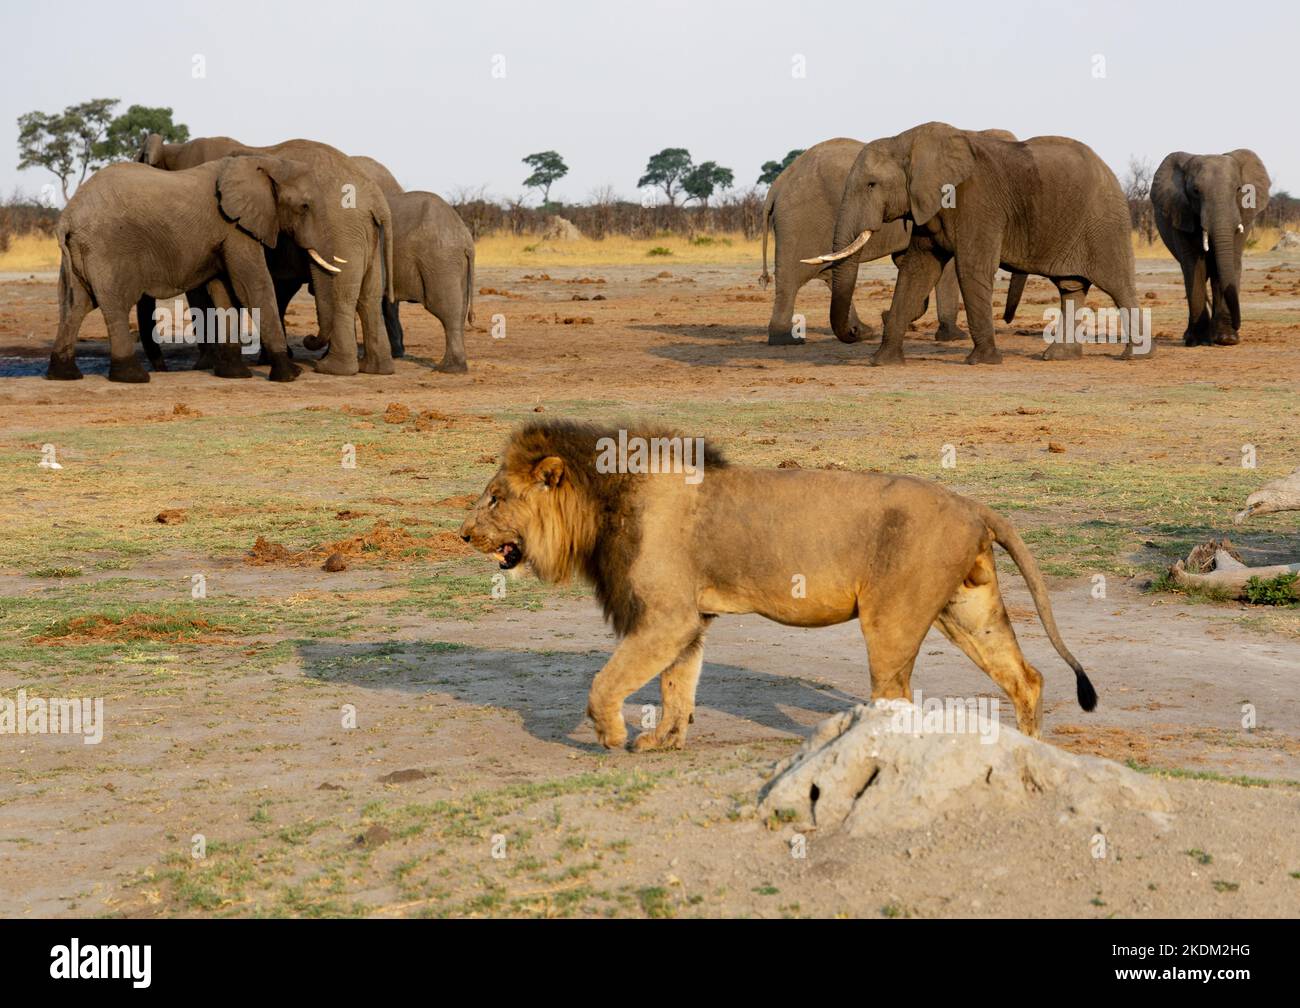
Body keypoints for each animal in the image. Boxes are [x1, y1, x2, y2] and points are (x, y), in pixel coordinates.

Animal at [49, 157, 340, 382]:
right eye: (304, 207)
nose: (309, 339)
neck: (263, 162)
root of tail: (66, 217)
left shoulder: (226, 233)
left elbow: (224, 292)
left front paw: (234, 374)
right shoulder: (236, 228)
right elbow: (252, 286)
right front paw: (290, 374)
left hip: (80, 253)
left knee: (76, 305)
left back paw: (64, 375)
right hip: (107, 247)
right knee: (115, 304)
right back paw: (133, 377)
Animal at [462, 416, 1092, 749]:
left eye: (495, 497)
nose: (464, 533)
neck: (605, 503)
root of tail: (974, 505)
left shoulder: (666, 616)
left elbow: (606, 681)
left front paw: (614, 735)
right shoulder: (689, 621)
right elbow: (676, 685)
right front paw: (664, 741)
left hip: (891, 619)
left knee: (897, 694)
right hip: (968, 610)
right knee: (1027, 677)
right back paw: (1035, 755)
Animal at [759, 133, 1024, 345]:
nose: (1007, 320)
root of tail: (778, 185)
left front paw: (895, 317)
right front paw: (953, 337)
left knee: (829, 273)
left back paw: (861, 332)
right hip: (801, 221)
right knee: (792, 278)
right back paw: (787, 340)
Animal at [806, 122, 1144, 366]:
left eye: (871, 184)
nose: (857, 331)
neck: (905, 141)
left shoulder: (977, 203)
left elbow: (971, 268)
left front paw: (982, 361)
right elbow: (917, 270)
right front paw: (882, 361)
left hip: (1105, 223)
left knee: (1117, 284)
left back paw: (1134, 355)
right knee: (1070, 288)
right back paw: (1058, 357)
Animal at [1149, 148, 1268, 345]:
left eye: (1238, 189)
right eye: (1196, 191)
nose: (1238, 325)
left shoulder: (1243, 216)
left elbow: (1231, 261)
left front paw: (1227, 339)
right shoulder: (1181, 213)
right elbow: (1194, 265)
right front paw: (1197, 341)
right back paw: (1192, 336)